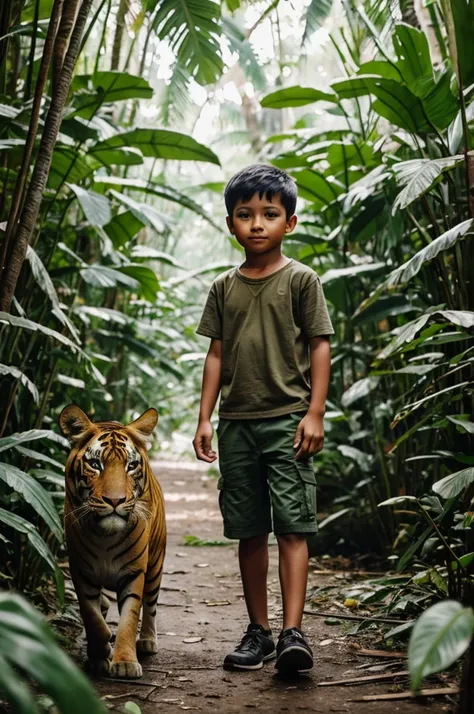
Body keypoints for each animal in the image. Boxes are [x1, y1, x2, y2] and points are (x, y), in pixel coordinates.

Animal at [59, 404, 167, 676]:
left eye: (131, 465)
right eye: (95, 464)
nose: (115, 500)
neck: (104, 537)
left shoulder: (134, 572)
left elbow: (129, 616)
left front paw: (125, 662)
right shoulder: (81, 572)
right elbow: (92, 617)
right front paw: (100, 654)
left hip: (155, 565)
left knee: (151, 605)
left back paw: (148, 640)